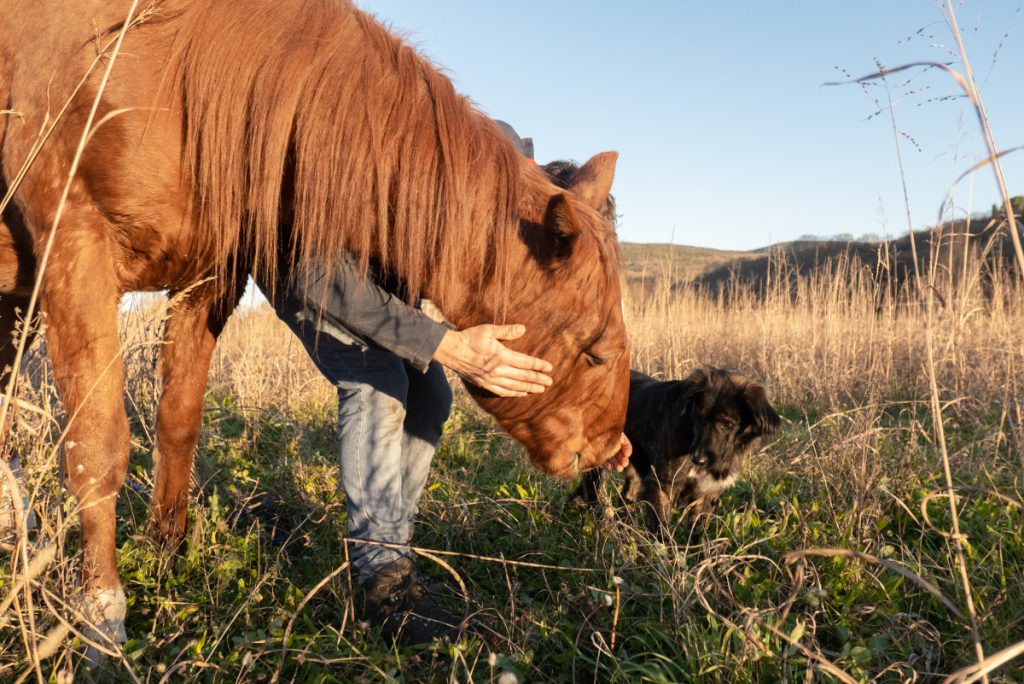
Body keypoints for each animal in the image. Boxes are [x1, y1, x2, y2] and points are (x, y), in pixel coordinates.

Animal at [0, 0, 629, 653]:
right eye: (598, 353)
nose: (613, 449)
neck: (171, 72)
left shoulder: (210, 280)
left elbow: (177, 423)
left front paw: (166, 554)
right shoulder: (76, 258)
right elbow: (97, 446)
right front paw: (101, 615)